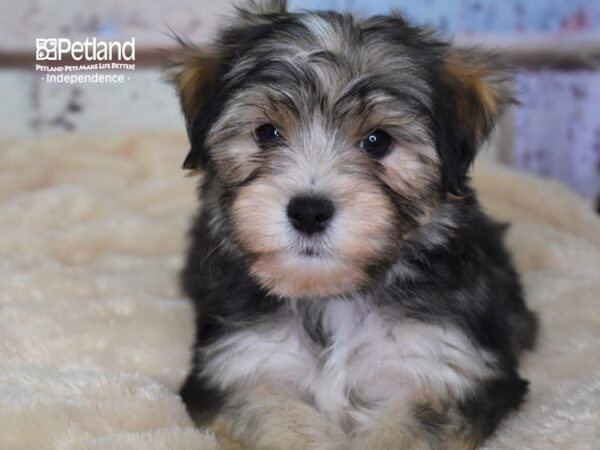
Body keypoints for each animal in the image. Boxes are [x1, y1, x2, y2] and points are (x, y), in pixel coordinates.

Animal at [171, 1, 536, 448]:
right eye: (266, 133)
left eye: (378, 141)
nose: (309, 211)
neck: (334, 297)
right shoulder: (244, 367)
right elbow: (277, 420)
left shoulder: (445, 368)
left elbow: (407, 428)